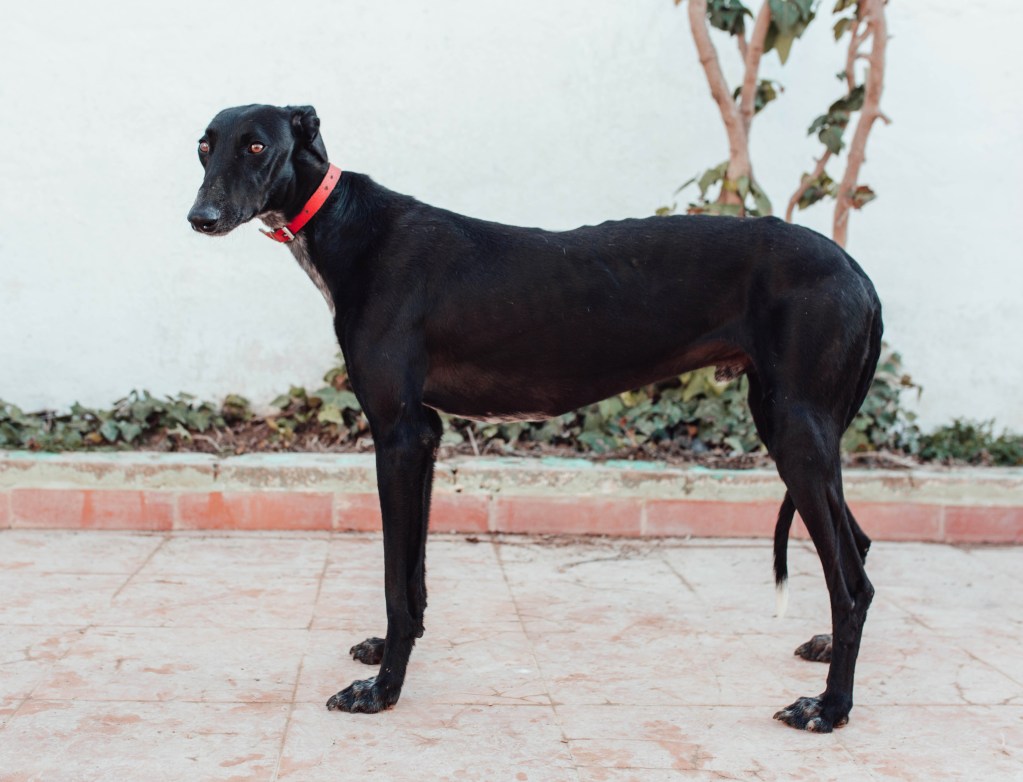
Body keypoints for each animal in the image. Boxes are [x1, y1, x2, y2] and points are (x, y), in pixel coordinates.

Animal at [188, 104, 882, 732]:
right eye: (204, 145)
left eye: (256, 146)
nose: (201, 218)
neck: (348, 225)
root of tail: (857, 271)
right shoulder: (427, 436)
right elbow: (411, 578)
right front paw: (391, 651)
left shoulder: (398, 435)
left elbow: (392, 580)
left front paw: (381, 691)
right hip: (792, 427)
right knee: (860, 549)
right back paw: (826, 655)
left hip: (796, 431)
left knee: (852, 584)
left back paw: (830, 707)